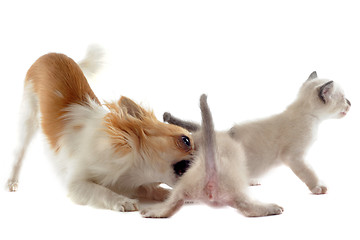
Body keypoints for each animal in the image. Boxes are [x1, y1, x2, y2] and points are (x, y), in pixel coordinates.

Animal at [7, 47, 193, 212]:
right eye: (186, 140)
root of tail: (51, 54)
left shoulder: (130, 183)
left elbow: (149, 188)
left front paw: (169, 195)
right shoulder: (75, 184)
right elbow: (100, 190)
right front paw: (122, 201)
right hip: (28, 117)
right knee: (19, 153)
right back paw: (12, 181)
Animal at [141, 94, 284, 218]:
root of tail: (211, 174)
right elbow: (191, 124)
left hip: (183, 190)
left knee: (174, 202)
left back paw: (153, 212)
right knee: (246, 204)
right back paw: (273, 207)